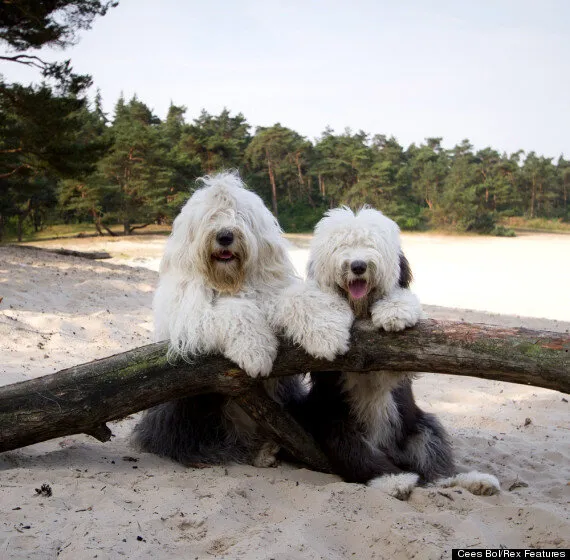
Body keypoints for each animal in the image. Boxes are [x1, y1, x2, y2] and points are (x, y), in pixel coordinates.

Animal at [133, 172, 350, 468]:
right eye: (210, 216)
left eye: (241, 216)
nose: (225, 236)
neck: (231, 282)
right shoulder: (188, 316)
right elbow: (235, 312)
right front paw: (256, 353)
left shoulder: (271, 292)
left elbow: (298, 298)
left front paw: (327, 337)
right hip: (190, 406)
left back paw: (267, 450)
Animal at [290, 208, 500, 500]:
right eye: (341, 246)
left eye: (372, 244)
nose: (358, 266)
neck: (360, 311)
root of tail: (392, 453)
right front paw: (326, 336)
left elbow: (403, 305)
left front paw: (395, 313)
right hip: (338, 425)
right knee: (360, 457)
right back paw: (394, 480)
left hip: (421, 427)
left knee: (436, 469)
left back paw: (473, 481)